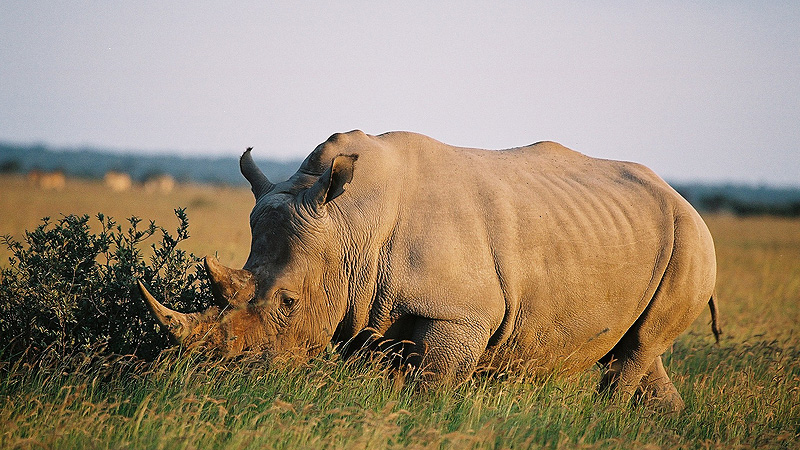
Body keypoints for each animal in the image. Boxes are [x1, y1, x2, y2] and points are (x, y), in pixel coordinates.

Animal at [138, 130, 719, 411]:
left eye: (288, 304)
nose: (225, 377)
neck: (351, 223)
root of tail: (683, 198)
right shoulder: (368, 306)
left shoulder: (460, 314)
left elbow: (431, 387)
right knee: (642, 350)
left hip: (693, 240)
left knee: (638, 350)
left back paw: (604, 420)